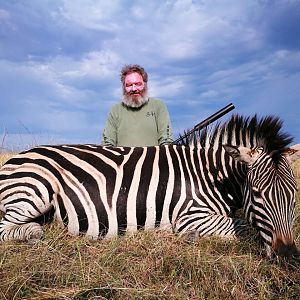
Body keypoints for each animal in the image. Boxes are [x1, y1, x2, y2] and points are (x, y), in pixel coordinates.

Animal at [0, 115, 298, 260]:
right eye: (257, 194)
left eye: (294, 196)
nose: (288, 255)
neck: (210, 175)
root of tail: (14, 159)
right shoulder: (190, 215)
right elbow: (243, 227)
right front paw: (190, 237)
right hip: (36, 187)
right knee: (7, 228)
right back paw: (35, 233)